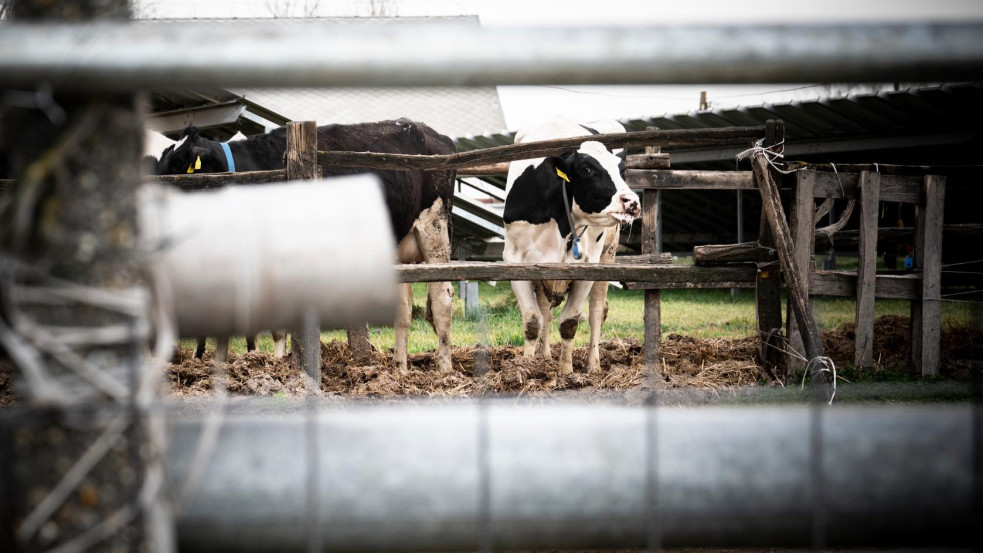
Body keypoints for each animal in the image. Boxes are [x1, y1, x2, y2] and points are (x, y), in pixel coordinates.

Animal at [153, 119, 458, 370]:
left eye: (178, 164)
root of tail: (434, 134)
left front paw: (279, 363)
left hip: (434, 227)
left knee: (442, 299)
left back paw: (444, 369)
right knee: (404, 310)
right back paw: (400, 368)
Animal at [508, 117, 640, 376]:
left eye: (621, 171)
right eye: (587, 169)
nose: (632, 202)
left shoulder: (587, 267)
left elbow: (570, 322)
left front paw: (567, 371)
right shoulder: (515, 261)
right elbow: (533, 320)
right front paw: (527, 367)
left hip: (607, 255)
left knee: (597, 312)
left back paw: (593, 365)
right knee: (546, 312)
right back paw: (545, 356)